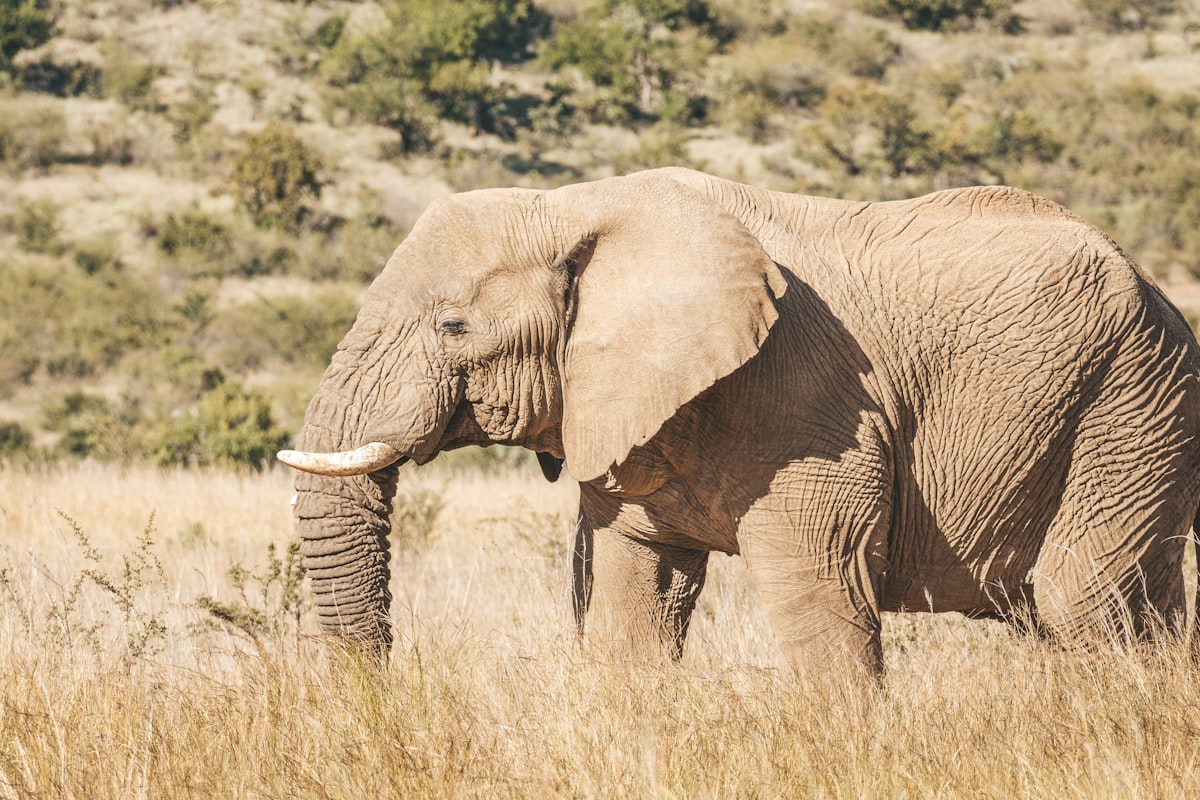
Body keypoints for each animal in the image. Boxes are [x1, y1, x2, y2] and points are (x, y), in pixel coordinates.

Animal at [278, 167, 1200, 674]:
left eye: (452, 327)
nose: (379, 697)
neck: (576, 206)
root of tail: (1154, 285)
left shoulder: (810, 403)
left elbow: (823, 588)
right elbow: (631, 597)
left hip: (1132, 399)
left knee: (1086, 603)